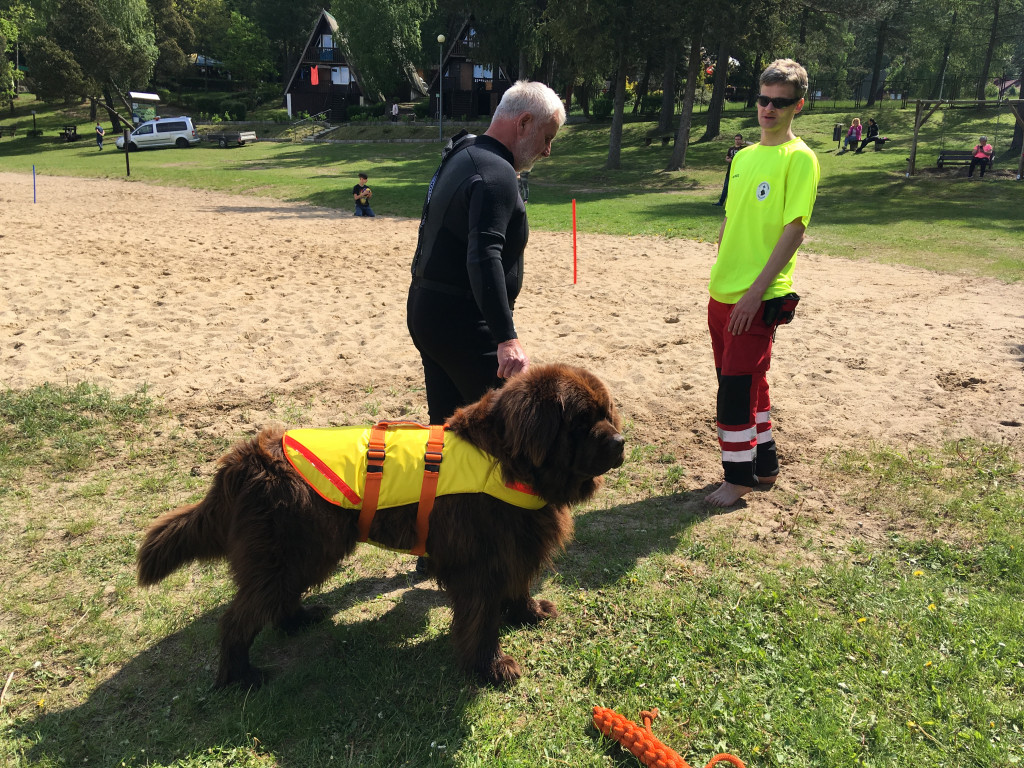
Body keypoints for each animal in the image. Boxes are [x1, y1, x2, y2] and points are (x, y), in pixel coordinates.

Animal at [137, 364, 622, 692]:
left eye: (607, 413)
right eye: (581, 421)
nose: (621, 442)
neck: (509, 461)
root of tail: (242, 459)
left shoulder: (515, 546)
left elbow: (518, 586)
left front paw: (527, 614)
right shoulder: (479, 561)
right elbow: (481, 620)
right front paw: (491, 667)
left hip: (304, 550)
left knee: (276, 598)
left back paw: (297, 621)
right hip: (294, 549)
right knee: (238, 618)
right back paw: (241, 676)